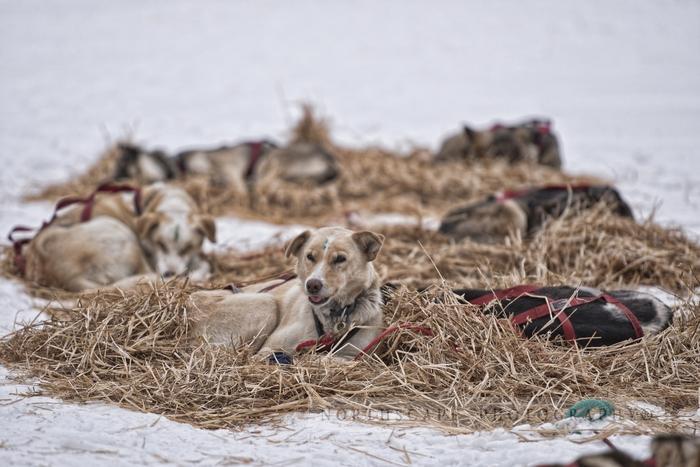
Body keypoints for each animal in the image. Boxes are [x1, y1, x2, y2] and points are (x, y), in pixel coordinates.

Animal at [190, 227, 385, 361]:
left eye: (340, 259)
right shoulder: (270, 348)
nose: (312, 285)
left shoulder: (356, 354)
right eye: (310, 256)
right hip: (265, 303)